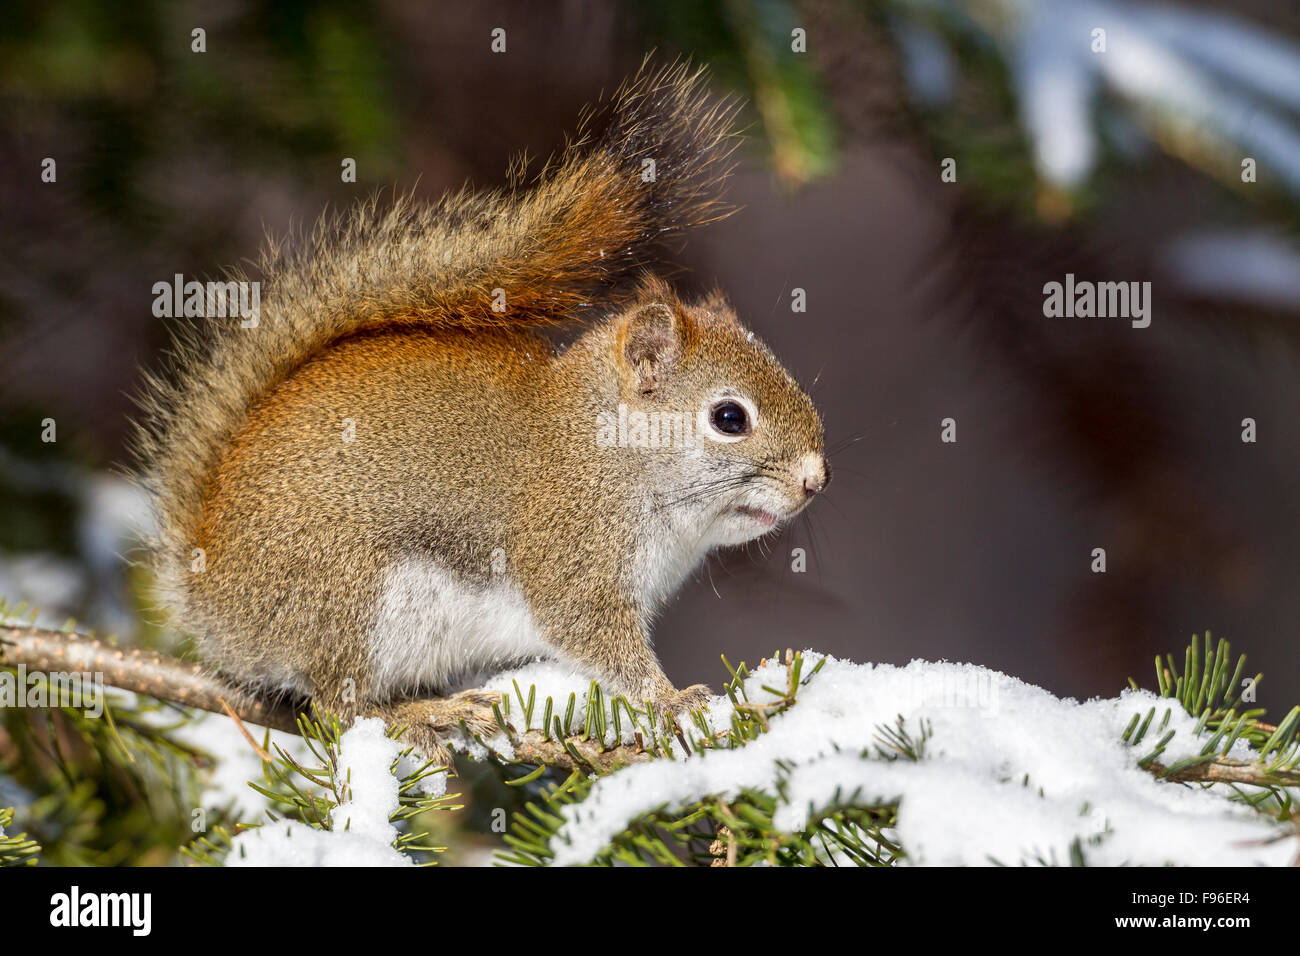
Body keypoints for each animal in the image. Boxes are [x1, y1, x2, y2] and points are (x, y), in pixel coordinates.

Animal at [132, 62, 830, 763]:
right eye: (729, 418)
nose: (815, 480)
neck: (605, 449)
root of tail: (213, 594)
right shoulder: (569, 553)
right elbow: (600, 640)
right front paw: (674, 699)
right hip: (350, 597)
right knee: (338, 704)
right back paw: (424, 716)